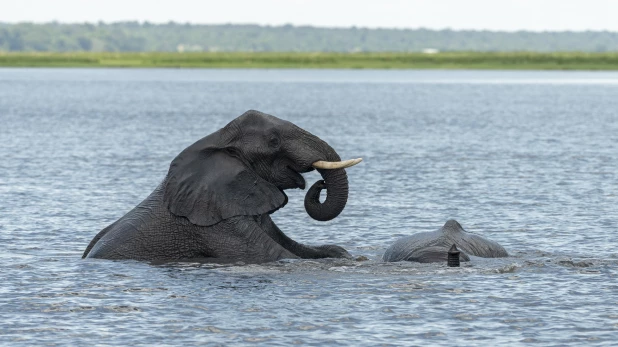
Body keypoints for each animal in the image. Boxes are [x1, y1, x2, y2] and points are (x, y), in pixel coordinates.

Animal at [82, 111, 360, 264]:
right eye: (273, 141)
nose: (320, 184)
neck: (220, 139)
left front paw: (342, 254)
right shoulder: (216, 227)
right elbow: (281, 255)